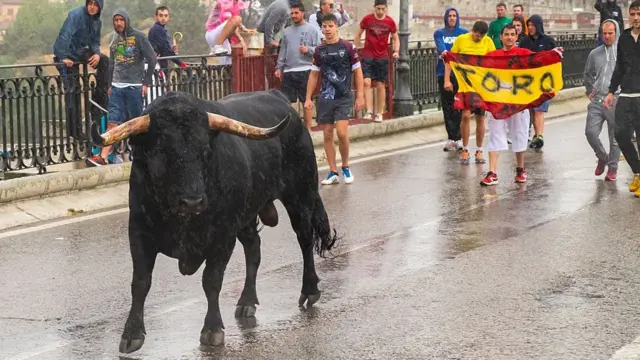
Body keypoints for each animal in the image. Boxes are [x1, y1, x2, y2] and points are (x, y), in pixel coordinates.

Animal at [91, 88, 340, 352]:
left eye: (205, 151)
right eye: (162, 151)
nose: (192, 202)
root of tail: (279, 97)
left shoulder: (223, 236)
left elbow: (211, 280)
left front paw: (212, 329)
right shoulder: (139, 233)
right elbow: (140, 283)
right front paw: (131, 334)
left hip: (300, 197)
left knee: (305, 241)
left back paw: (310, 290)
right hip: (248, 214)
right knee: (254, 249)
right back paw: (246, 301)